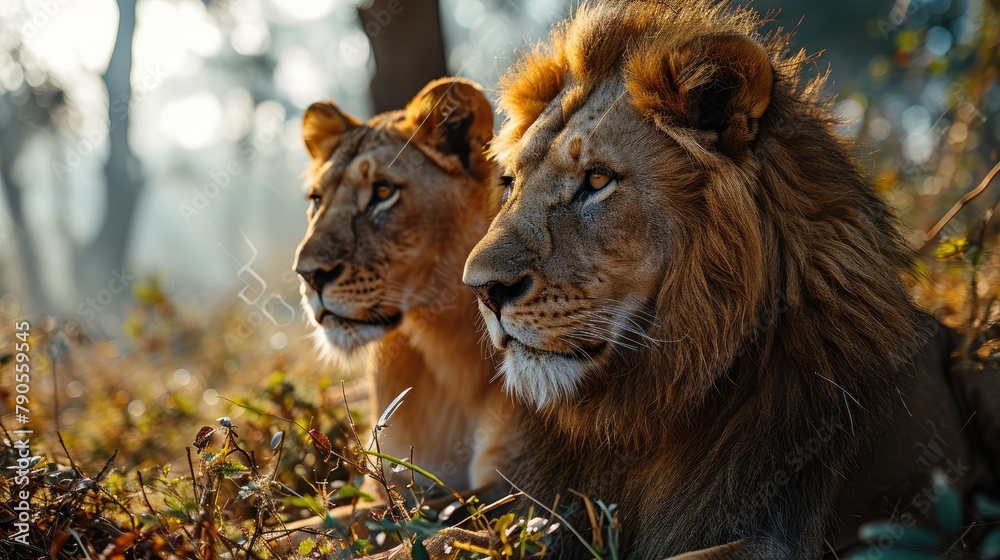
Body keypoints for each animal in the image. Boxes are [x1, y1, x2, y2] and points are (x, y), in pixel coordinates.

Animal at [293, 77, 516, 497]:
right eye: (316, 200)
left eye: (383, 192)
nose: (307, 274)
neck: (444, 347)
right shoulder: (385, 478)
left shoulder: (515, 483)